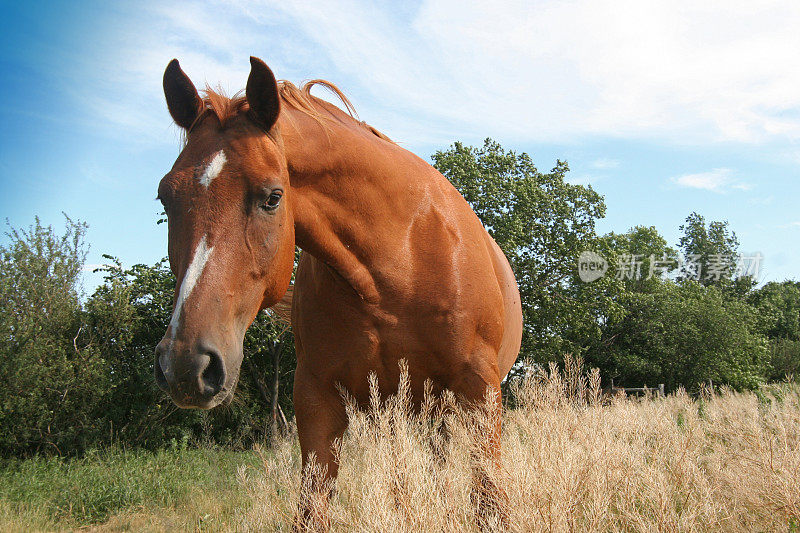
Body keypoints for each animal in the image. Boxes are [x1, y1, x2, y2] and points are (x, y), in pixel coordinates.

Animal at [155, 56, 524, 524]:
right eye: (165, 198)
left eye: (272, 197)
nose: (186, 366)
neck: (399, 260)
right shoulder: (316, 399)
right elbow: (313, 508)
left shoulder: (480, 391)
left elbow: (489, 500)